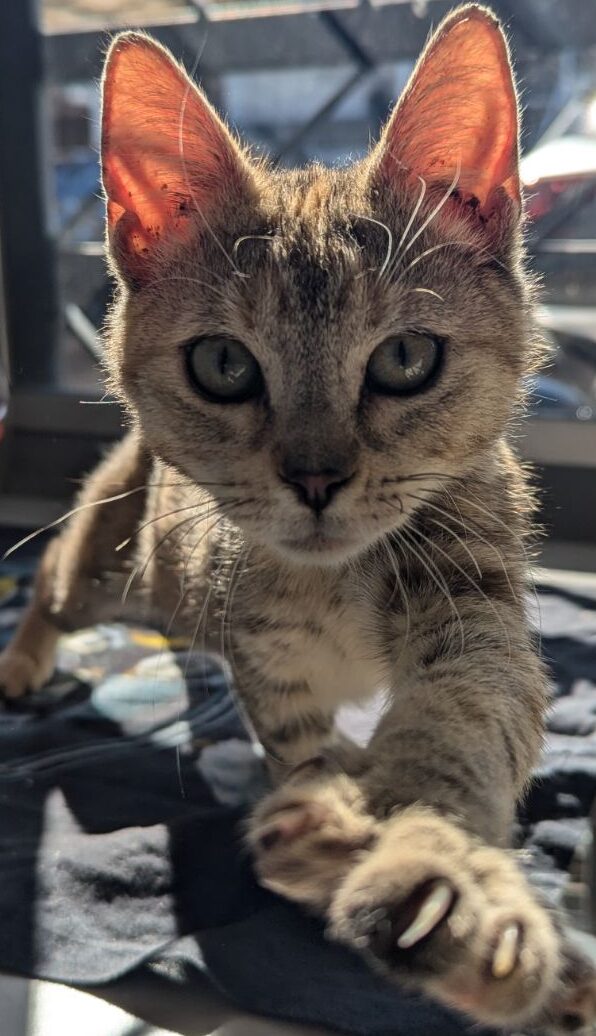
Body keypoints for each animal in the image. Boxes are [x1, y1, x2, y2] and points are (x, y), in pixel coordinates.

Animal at [1, 4, 595, 1031]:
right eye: (224, 366)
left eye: (406, 357)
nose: (316, 478)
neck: (332, 584)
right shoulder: (267, 669)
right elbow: (297, 751)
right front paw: (381, 854)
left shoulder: (472, 604)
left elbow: (466, 720)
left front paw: (434, 863)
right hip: (117, 563)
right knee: (49, 578)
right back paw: (24, 656)